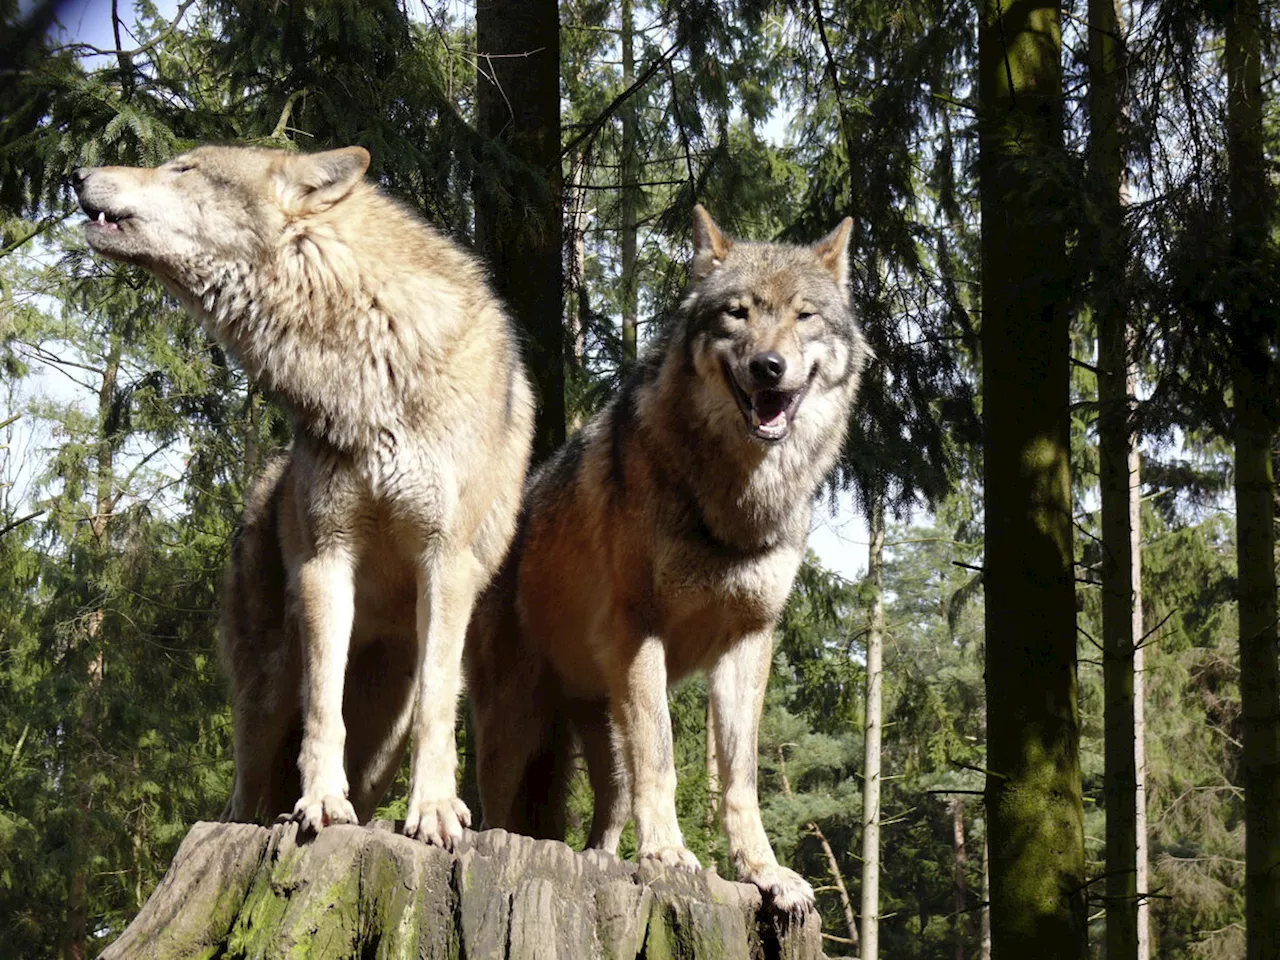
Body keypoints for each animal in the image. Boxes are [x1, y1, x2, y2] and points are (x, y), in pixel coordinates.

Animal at [74, 144, 535, 849]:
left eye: (184, 169)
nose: (77, 174)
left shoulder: (447, 562)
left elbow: (438, 703)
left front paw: (434, 809)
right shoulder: (326, 559)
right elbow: (323, 703)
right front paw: (319, 800)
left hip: (382, 743)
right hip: (264, 696)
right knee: (247, 789)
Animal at [465, 207, 865, 911]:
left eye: (804, 316)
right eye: (737, 312)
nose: (769, 366)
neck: (736, 501)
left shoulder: (748, 641)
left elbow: (740, 778)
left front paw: (764, 871)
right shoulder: (640, 629)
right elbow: (665, 756)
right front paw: (668, 854)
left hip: (595, 728)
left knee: (606, 814)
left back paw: (600, 860)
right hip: (511, 725)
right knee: (496, 807)